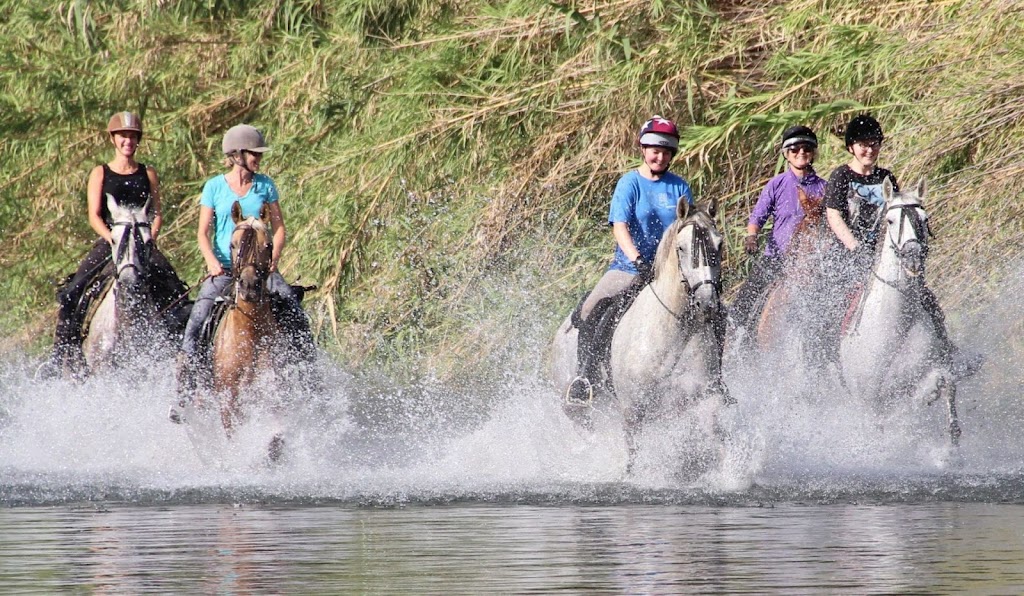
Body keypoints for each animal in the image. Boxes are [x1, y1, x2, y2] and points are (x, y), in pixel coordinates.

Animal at [551, 199, 728, 472]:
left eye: (718, 245)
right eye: (681, 248)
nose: (707, 303)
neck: (673, 332)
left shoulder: (706, 399)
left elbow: (720, 447)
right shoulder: (633, 413)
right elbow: (635, 459)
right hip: (578, 411)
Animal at [837, 178, 961, 447]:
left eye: (924, 219)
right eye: (890, 221)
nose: (913, 260)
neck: (896, 324)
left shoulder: (931, 368)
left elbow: (945, 386)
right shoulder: (870, 401)